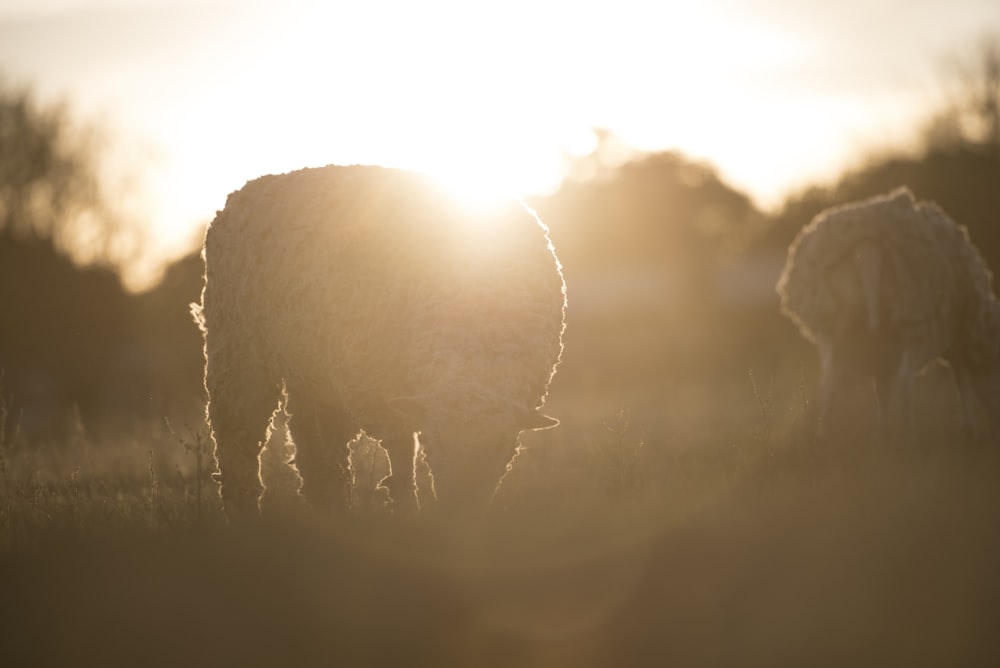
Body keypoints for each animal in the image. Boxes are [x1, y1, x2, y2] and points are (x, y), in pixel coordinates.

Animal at [188, 164, 564, 520]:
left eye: (501, 444)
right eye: (439, 439)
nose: (459, 512)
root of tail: (246, 189)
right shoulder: (382, 391)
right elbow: (402, 458)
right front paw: (408, 512)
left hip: (311, 371)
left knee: (317, 454)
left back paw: (334, 513)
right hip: (237, 352)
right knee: (240, 442)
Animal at [776, 185, 1000, 440]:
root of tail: (868, 244)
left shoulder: (881, 350)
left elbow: (881, 390)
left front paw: (881, 432)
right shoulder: (959, 339)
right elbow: (962, 381)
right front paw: (969, 428)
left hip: (830, 320)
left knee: (828, 379)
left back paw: (825, 434)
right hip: (914, 315)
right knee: (904, 379)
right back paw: (911, 435)